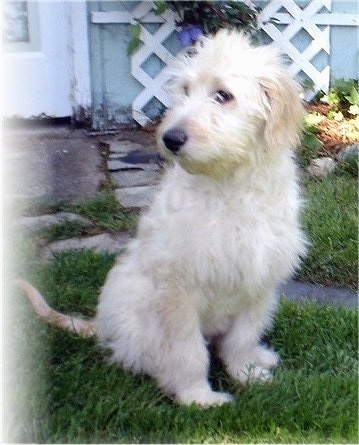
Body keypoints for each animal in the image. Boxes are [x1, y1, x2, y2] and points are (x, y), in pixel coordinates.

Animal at [19, 30, 306, 406]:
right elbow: (188, 351)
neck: (232, 186)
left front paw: (245, 373)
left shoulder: (259, 282)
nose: (170, 138)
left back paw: (261, 356)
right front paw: (197, 397)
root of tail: (101, 325)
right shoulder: (178, 289)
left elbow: (241, 338)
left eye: (223, 95)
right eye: (185, 90)